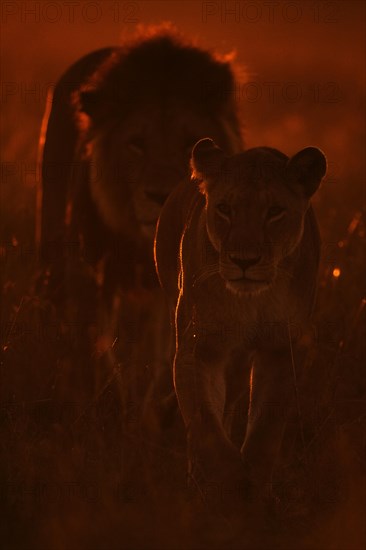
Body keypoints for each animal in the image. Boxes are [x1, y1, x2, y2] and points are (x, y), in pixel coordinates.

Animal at [154, 139, 326, 512]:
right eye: (224, 209)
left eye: (274, 211)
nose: (243, 261)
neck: (250, 302)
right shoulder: (197, 349)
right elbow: (206, 426)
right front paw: (226, 485)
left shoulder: (280, 349)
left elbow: (265, 429)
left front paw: (257, 494)